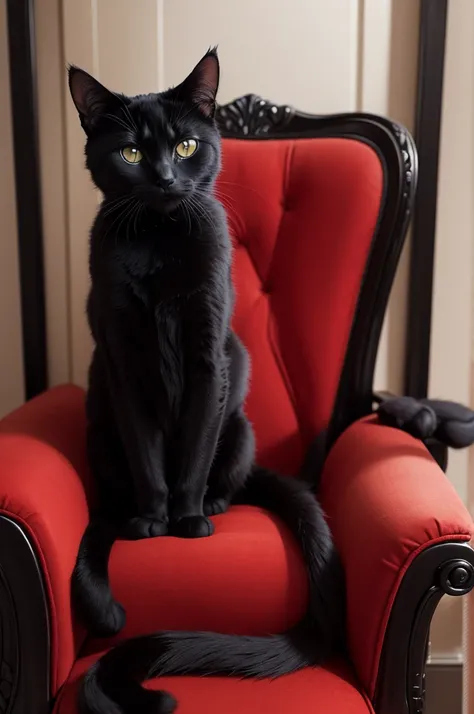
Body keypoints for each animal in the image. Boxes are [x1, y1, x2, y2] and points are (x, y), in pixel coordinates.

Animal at [69, 50, 344, 712]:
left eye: (187, 145)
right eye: (131, 153)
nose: (167, 177)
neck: (158, 241)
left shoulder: (207, 360)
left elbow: (192, 452)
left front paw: (189, 519)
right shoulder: (125, 364)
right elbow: (150, 459)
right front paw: (153, 520)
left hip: (239, 426)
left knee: (231, 472)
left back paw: (217, 501)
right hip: (101, 431)